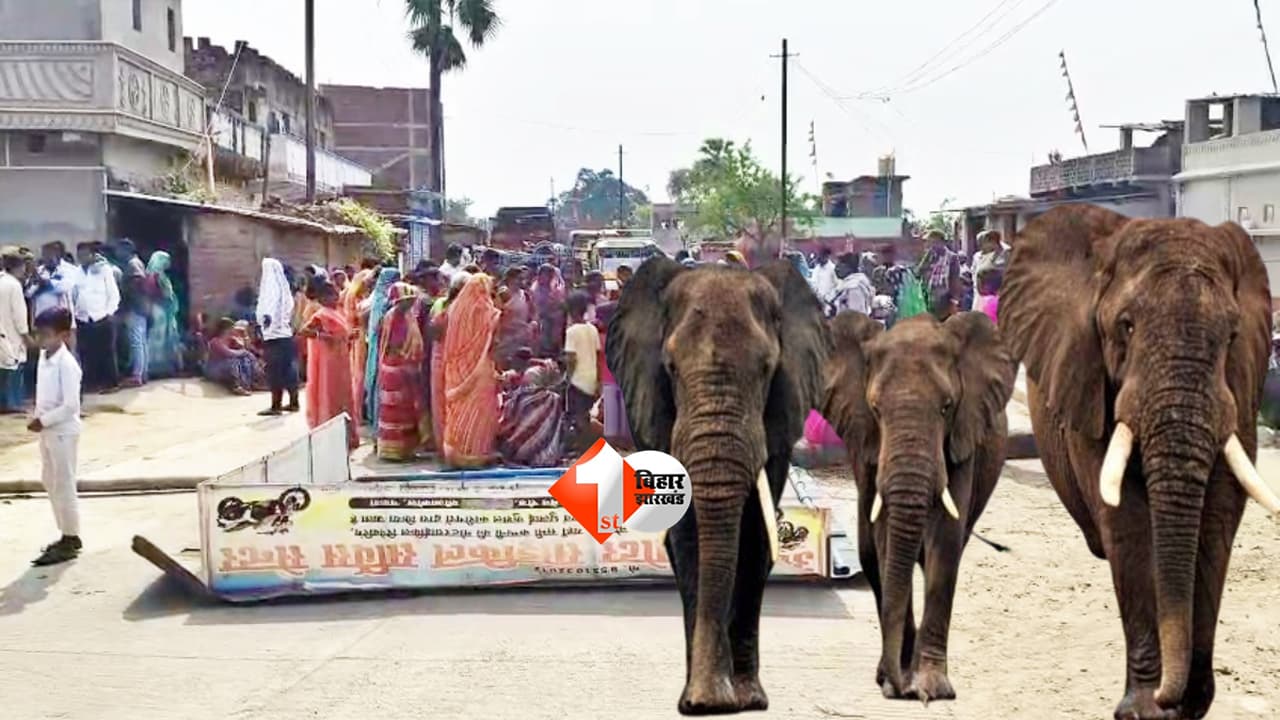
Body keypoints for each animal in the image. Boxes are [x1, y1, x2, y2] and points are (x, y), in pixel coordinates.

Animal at [606, 256, 829, 714]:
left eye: (766, 369)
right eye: (670, 368)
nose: (709, 700)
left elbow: (758, 534)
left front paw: (745, 699)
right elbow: (687, 535)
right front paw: (702, 700)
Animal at [821, 311, 1016, 703]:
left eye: (947, 406)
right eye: (875, 409)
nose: (900, 687)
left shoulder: (962, 440)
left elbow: (946, 544)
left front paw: (931, 688)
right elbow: (884, 541)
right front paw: (894, 683)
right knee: (870, 554)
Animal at [999, 204, 1277, 720]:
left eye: (1231, 335)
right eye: (1125, 326)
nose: (1172, 694)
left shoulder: (1241, 390)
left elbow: (1219, 514)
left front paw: (1190, 704)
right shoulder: (1089, 382)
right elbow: (1125, 520)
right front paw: (1145, 708)